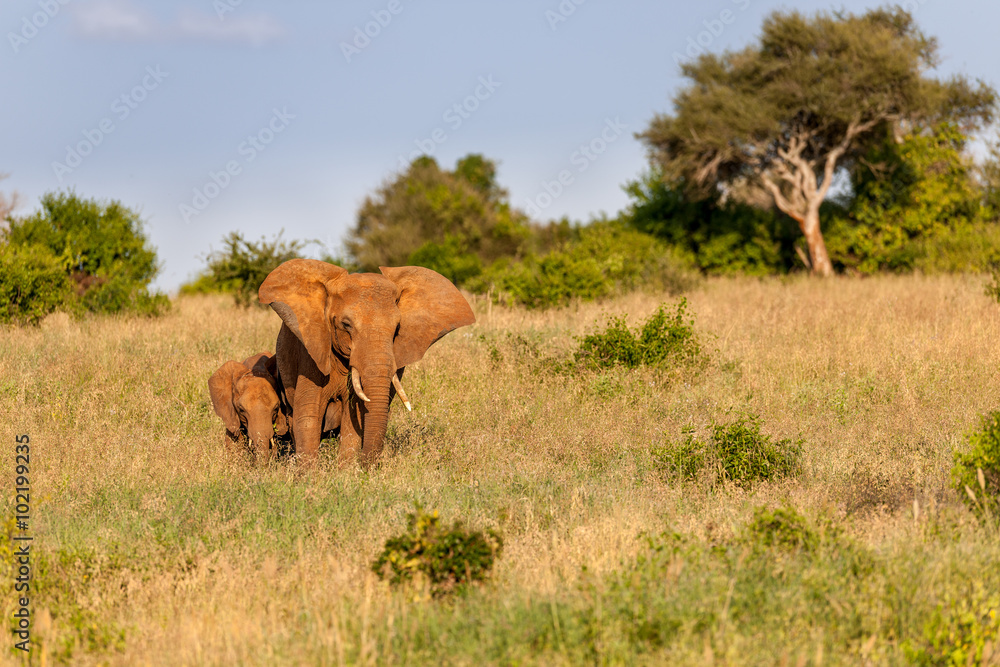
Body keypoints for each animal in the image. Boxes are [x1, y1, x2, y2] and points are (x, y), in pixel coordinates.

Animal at [258, 259, 475, 469]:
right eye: (346, 325)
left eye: (397, 328)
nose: (366, 467)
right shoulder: (311, 350)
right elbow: (309, 414)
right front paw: (309, 476)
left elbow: (353, 416)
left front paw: (346, 473)